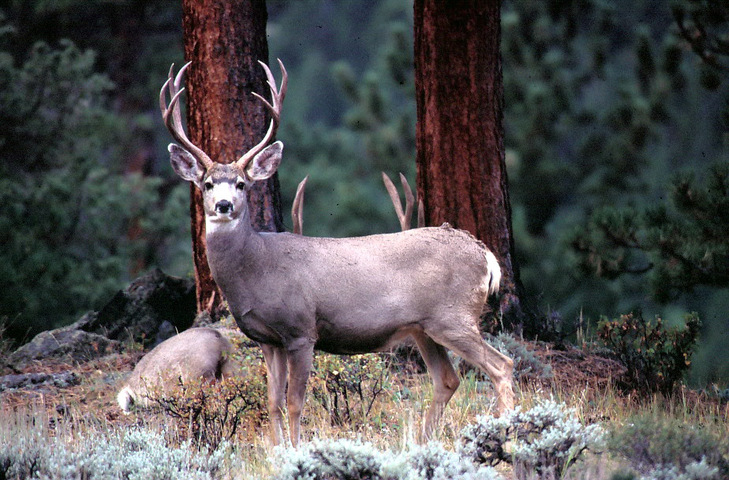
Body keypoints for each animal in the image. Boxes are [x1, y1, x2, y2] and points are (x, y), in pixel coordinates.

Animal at [161, 60, 512, 446]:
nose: (223, 205)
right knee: (448, 379)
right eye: (208, 183)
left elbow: (295, 402)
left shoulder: (301, 330)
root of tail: (484, 254)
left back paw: (508, 433)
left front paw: (296, 449)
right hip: (424, 327)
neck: (257, 267)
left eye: (241, 183)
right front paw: (277, 450)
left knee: (501, 365)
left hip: (454, 315)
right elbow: (272, 402)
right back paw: (424, 442)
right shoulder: (268, 340)